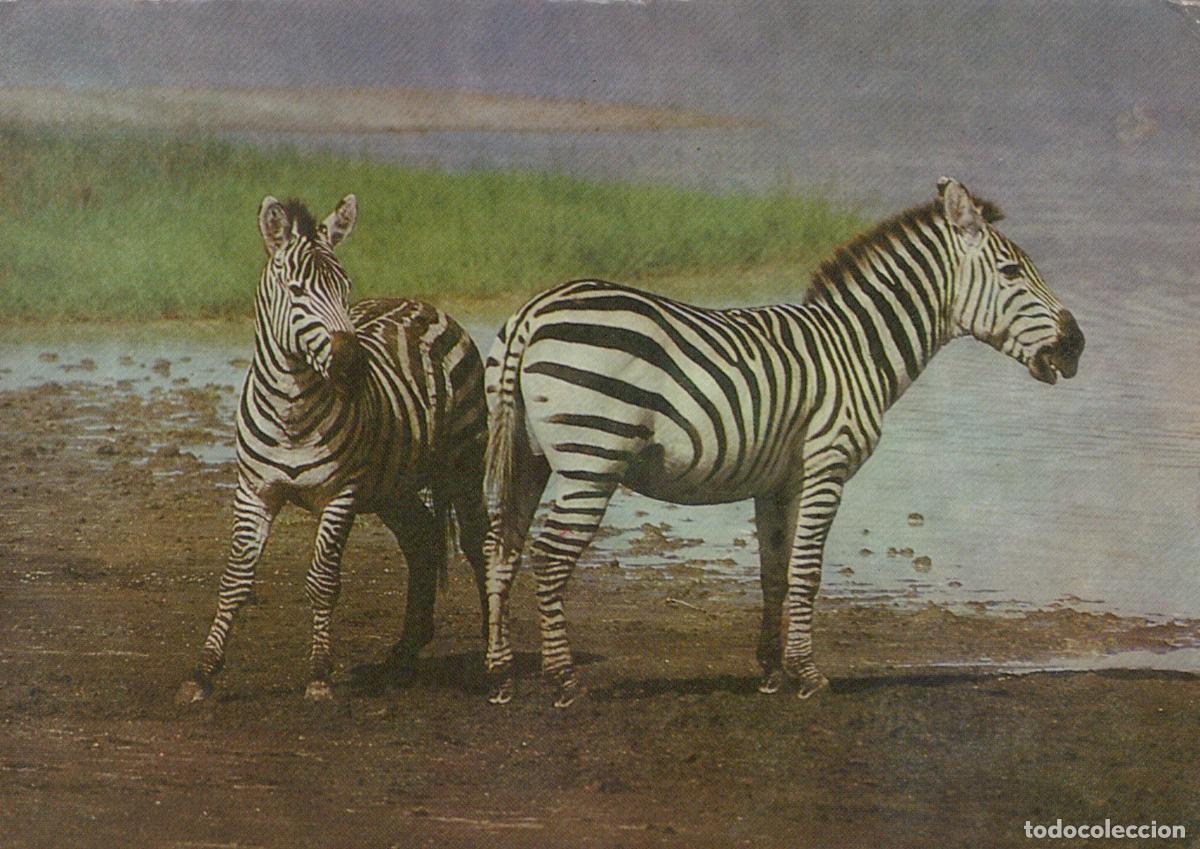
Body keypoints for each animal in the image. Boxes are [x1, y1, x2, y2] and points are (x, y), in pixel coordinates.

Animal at [176, 194, 489, 704]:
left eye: (345, 289)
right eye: (297, 290)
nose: (354, 365)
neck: (291, 412)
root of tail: (420, 303)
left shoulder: (340, 495)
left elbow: (323, 582)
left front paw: (320, 675)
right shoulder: (255, 491)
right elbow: (235, 579)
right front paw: (203, 672)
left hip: (464, 460)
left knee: (482, 545)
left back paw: (493, 652)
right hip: (392, 486)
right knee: (422, 539)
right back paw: (405, 651)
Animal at [482, 178, 1085, 707]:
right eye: (1011, 271)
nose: (1077, 344)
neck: (857, 347)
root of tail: (534, 311)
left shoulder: (775, 481)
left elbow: (774, 572)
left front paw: (772, 671)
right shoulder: (825, 467)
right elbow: (807, 572)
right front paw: (808, 674)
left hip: (527, 458)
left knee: (500, 549)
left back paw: (501, 674)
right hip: (593, 458)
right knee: (551, 557)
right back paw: (563, 681)